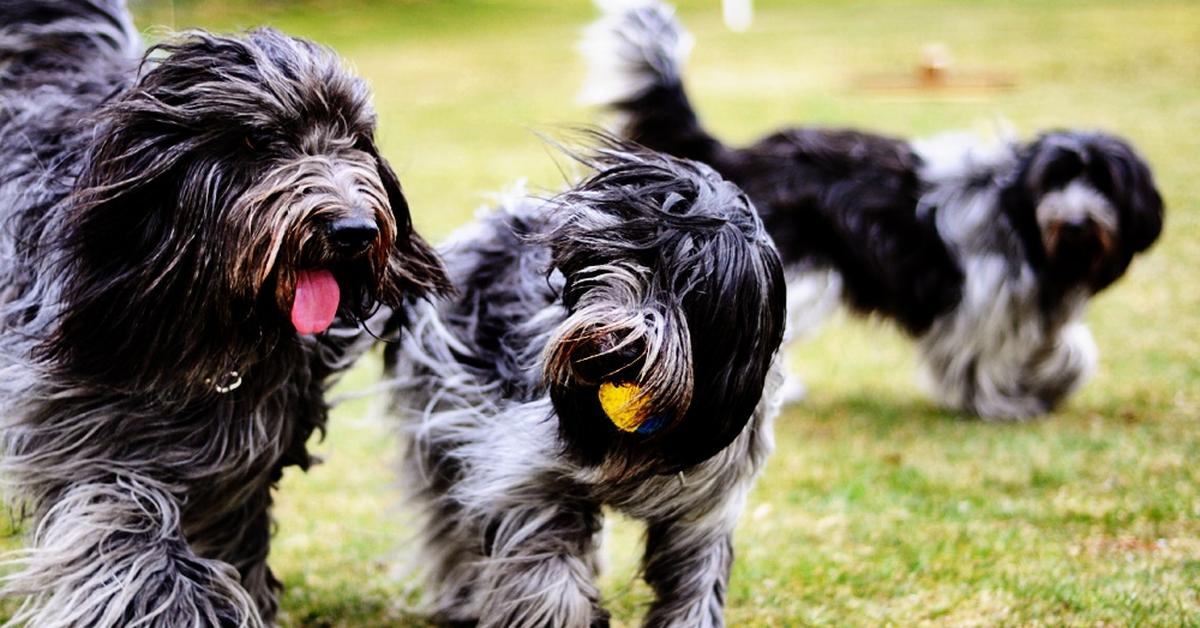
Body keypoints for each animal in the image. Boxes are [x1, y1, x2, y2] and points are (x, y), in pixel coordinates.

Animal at [0, 0, 451, 624]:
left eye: (356, 138)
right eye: (259, 140)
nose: (355, 231)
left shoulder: (240, 453)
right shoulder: (81, 439)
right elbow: (129, 532)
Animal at [384, 143, 787, 628]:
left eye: (690, 282)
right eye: (602, 260)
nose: (609, 348)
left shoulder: (705, 508)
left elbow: (695, 584)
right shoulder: (526, 474)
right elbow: (545, 565)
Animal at [580, 1, 1161, 422]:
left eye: (1102, 183)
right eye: (1054, 181)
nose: (1078, 221)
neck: (1016, 214)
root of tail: (738, 156)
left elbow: (1069, 349)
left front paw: (1048, 383)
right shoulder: (979, 306)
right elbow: (992, 360)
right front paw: (1006, 402)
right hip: (798, 276)